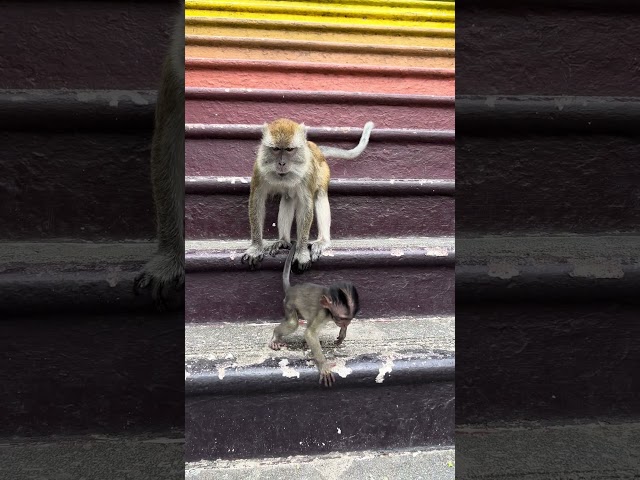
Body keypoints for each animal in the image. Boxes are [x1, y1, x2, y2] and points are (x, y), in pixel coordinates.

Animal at [241, 118, 374, 271]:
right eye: (275, 149)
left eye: (289, 149)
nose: (281, 163)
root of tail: (315, 148)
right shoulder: (259, 169)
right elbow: (257, 201)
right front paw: (256, 248)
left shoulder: (308, 172)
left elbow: (306, 206)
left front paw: (302, 252)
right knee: (288, 198)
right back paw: (283, 240)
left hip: (323, 172)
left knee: (320, 196)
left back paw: (322, 241)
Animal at [269, 241, 360, 387]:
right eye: (342, 318)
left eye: (349, 319)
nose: (345, 323)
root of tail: (291, 289)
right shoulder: (323, 312)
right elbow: (310, 333)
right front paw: (323, 366)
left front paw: (342, 334)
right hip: (288, 304)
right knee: (293, 323)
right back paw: (276, 336)